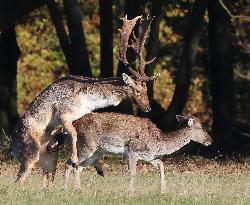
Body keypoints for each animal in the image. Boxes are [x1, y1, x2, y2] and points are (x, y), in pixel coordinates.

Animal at [11, 14, 158, 184]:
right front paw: (75, 160)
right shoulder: (62, 113)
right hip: (30, 150)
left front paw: (98, 168)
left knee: (46, 174)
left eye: (146, 89)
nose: (148, 108)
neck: (86, 101)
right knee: (19, 178)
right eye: (138, 90)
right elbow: (74, 134)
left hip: (49, 157)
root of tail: (12, 151)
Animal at [61, 113, 212, 193]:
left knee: (78, 167)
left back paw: (78, 189)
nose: (210, 141)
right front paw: (130, 192)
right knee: (69, 163)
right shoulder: (133, 150)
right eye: (200, 127)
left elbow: (161, 163)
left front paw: (163, 190)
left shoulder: (149, 156)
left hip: (95, 153)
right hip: (86, 146)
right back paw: (65, 189)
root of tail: (74, 124)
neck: (158, 142)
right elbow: (132, 172)